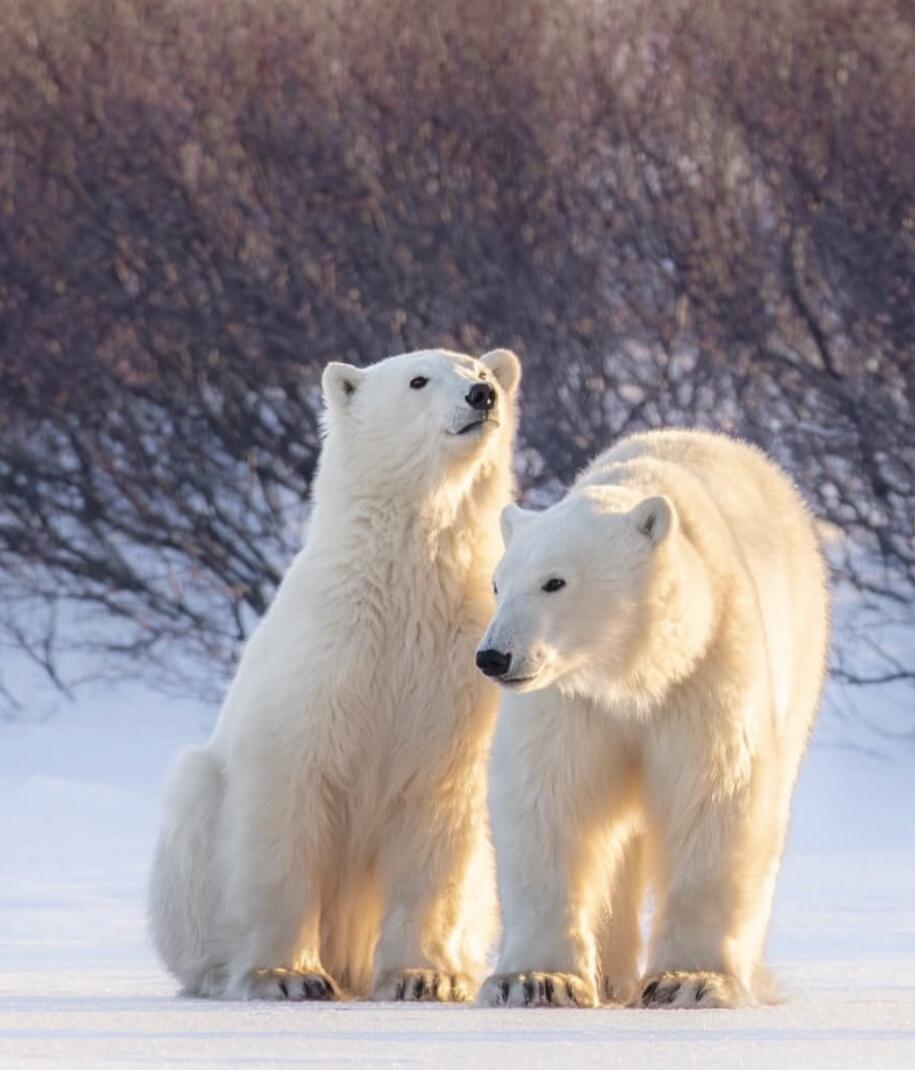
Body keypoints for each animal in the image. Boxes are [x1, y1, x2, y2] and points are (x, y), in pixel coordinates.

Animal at [148, 347, 521, 1001]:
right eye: (418, 379)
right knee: (193, 806)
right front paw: (285, 975)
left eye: (480, 369)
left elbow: (438, 812)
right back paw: (219, 970)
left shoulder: (450, 675)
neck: (398, 588)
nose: (482, 395)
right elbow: (285, 811)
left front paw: (424, 975)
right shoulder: (325, 662)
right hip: (196, 822)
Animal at [474, 428, 829, 1009]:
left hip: (800, 659)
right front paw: (534, 980)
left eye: (555, 582)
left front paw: (689, 980)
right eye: (497, 584)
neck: (633, 674)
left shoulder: (704, 674)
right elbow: (548, 800)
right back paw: (611, 975)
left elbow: (716, 797)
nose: (494, 657)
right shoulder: (571, 705)